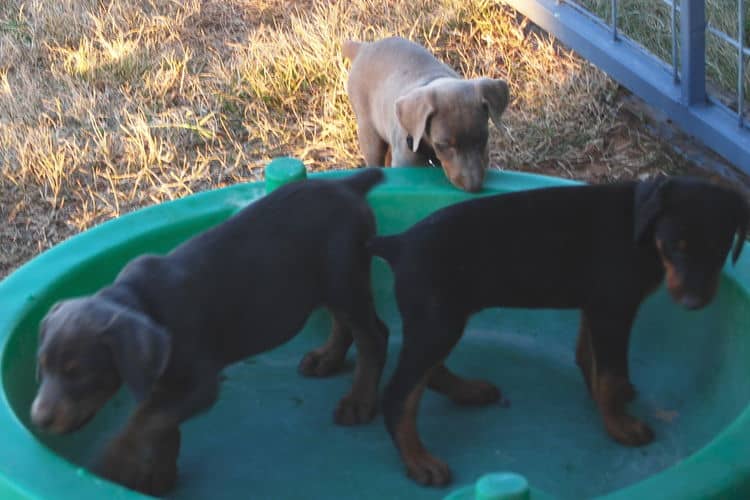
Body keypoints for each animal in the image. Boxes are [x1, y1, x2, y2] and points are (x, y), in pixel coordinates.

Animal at [32, 169, 390, 496]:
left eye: (78, 373)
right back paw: (326, 360)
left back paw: (358, 402)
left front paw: (116, 463)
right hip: (330, 283)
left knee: (374, 336)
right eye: (43, 368)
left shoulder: (200, 383)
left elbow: (143, 421)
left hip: (345, 277)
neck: (143, 301)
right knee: (344, 324)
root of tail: (348, 186)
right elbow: (161, 424)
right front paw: (159, 477)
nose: (38, 420)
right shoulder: (164, 382)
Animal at [368, 175, 748, 484]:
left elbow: (590, 360)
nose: (694, 302)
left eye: (720, 249)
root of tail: (398, 243)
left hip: (437, 321)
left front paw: (606, 400)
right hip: (438, 321)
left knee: (427, 373)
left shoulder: (596, 306)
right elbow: (610, 372)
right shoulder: (613, 310)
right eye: (674, 246)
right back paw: (420, 461)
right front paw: (619, 425)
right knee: (399, 394)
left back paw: (469, 392)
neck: (641, 230)